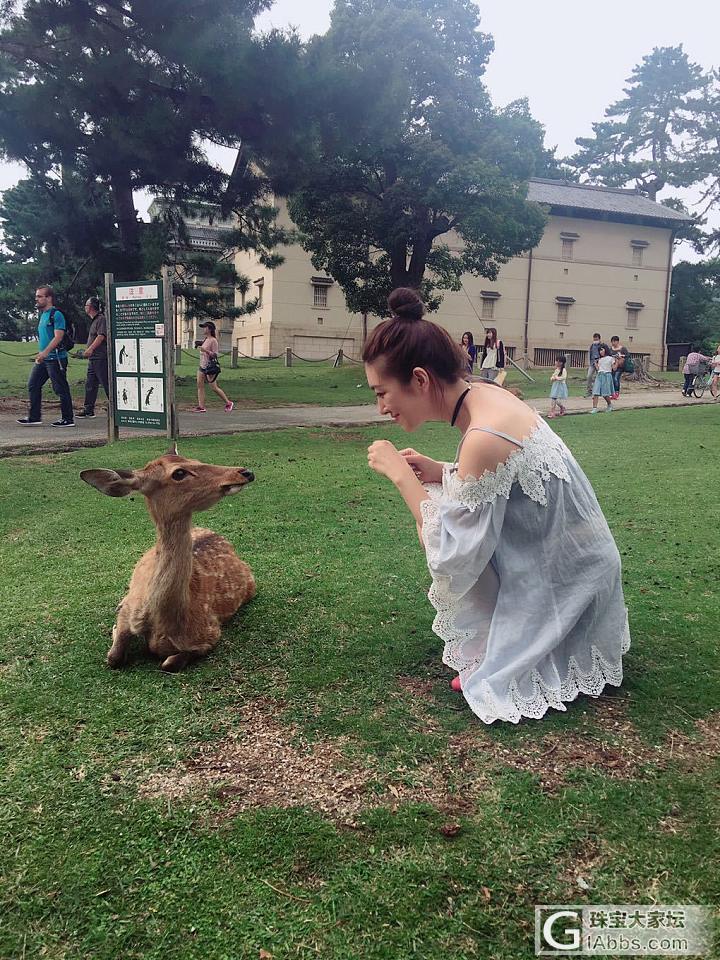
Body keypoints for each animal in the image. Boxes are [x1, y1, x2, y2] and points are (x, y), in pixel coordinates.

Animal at [81, 446, 256, 672]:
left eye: (196, 459)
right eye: (179, 473)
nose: (245, 472)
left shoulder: (210, 634)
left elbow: (169, 663)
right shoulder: (130, 610)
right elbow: (113, 657)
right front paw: (114, 629)